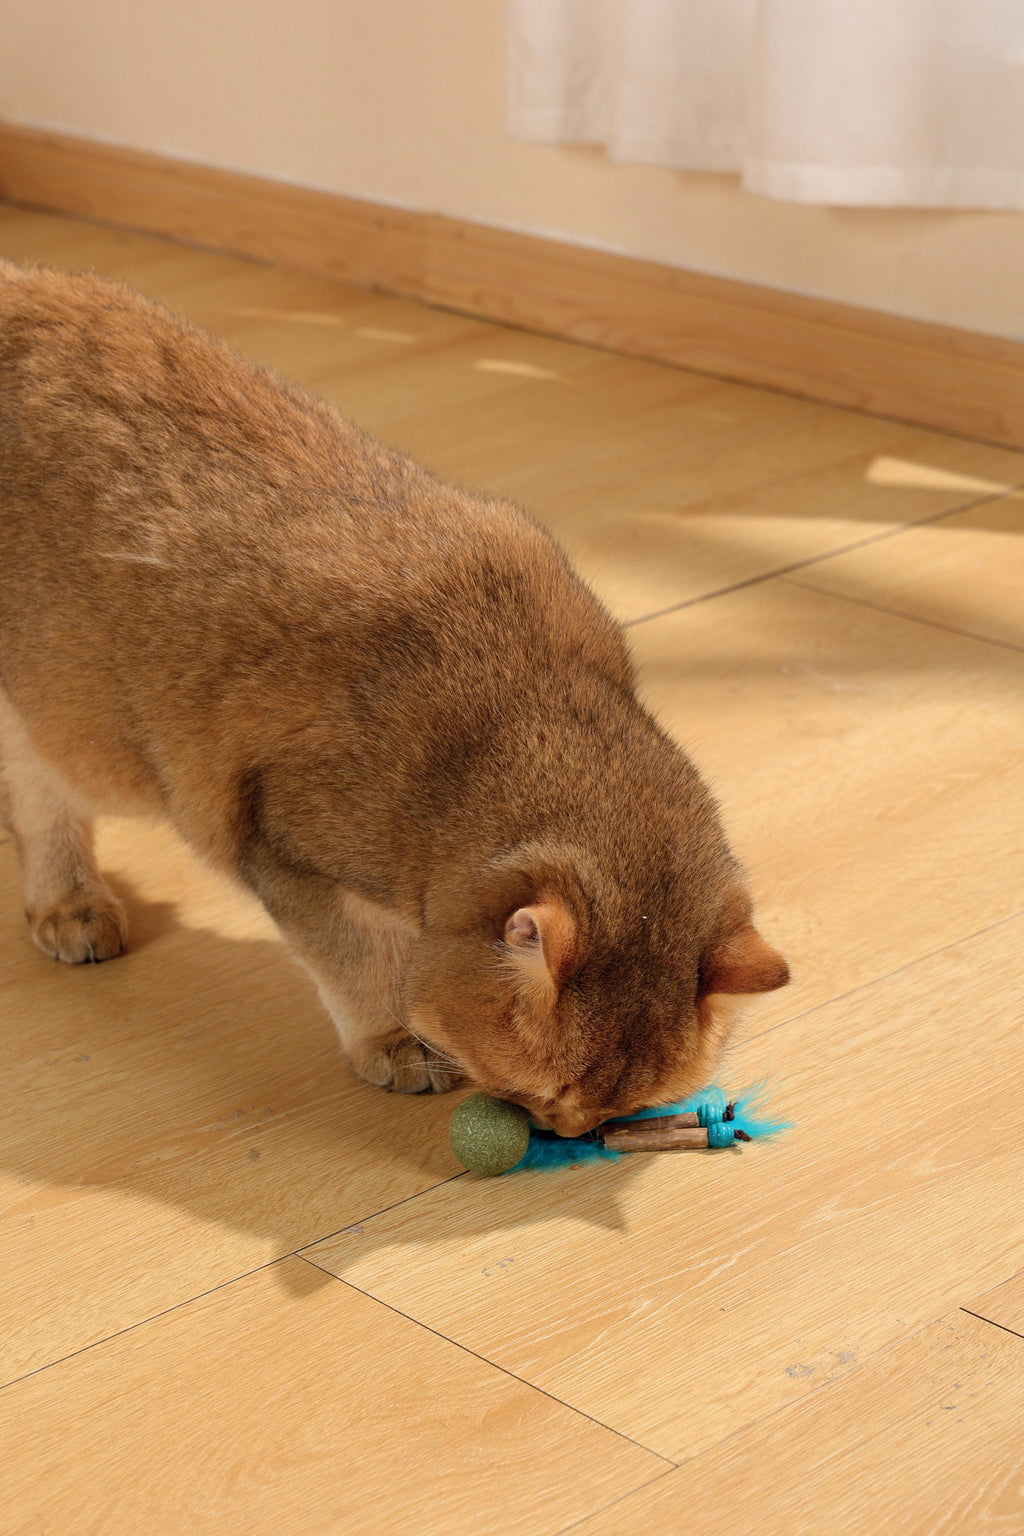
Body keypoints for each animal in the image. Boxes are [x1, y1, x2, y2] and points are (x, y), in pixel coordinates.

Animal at [0, 261, 792, 1130]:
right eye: (545, 1092)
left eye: (618, 1112)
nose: (561, 1133)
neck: (512, 699)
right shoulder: (281, 848)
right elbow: (355, 962)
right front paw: (393, 1038)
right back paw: (69, 904)